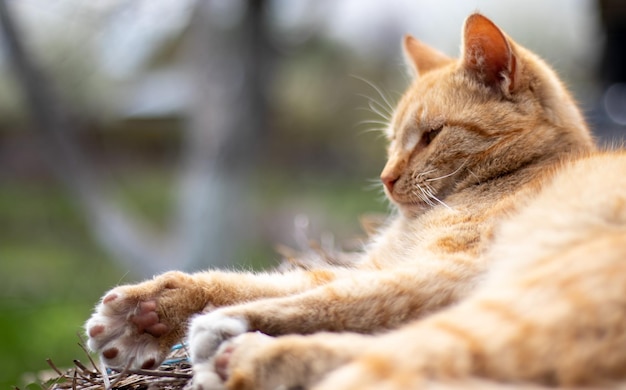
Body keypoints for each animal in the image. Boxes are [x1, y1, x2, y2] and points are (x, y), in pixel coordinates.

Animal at [85, 13, 624, 388]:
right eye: (391, 140)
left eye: (430, 136)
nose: (386, 178)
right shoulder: (370, 267)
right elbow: (255, 283)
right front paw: (148, 315)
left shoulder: (449, 270)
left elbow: (334, 299)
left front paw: (210, 321)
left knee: (401, 358)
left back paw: (240, 354)